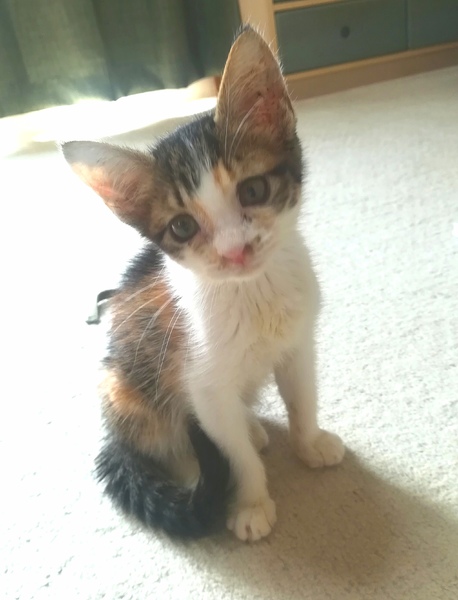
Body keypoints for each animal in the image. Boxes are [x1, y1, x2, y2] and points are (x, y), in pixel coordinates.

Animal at [62, 26, 344, 542]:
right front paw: (251, 502)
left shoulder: (298, 346)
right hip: (125, 386)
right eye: (182, 227)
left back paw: (253, 425)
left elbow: (302, 399)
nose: (235, 251)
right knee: (170, 443)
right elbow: (233, 452)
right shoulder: (202, 383)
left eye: (253, 190)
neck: (253, 293)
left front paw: (309, 443)